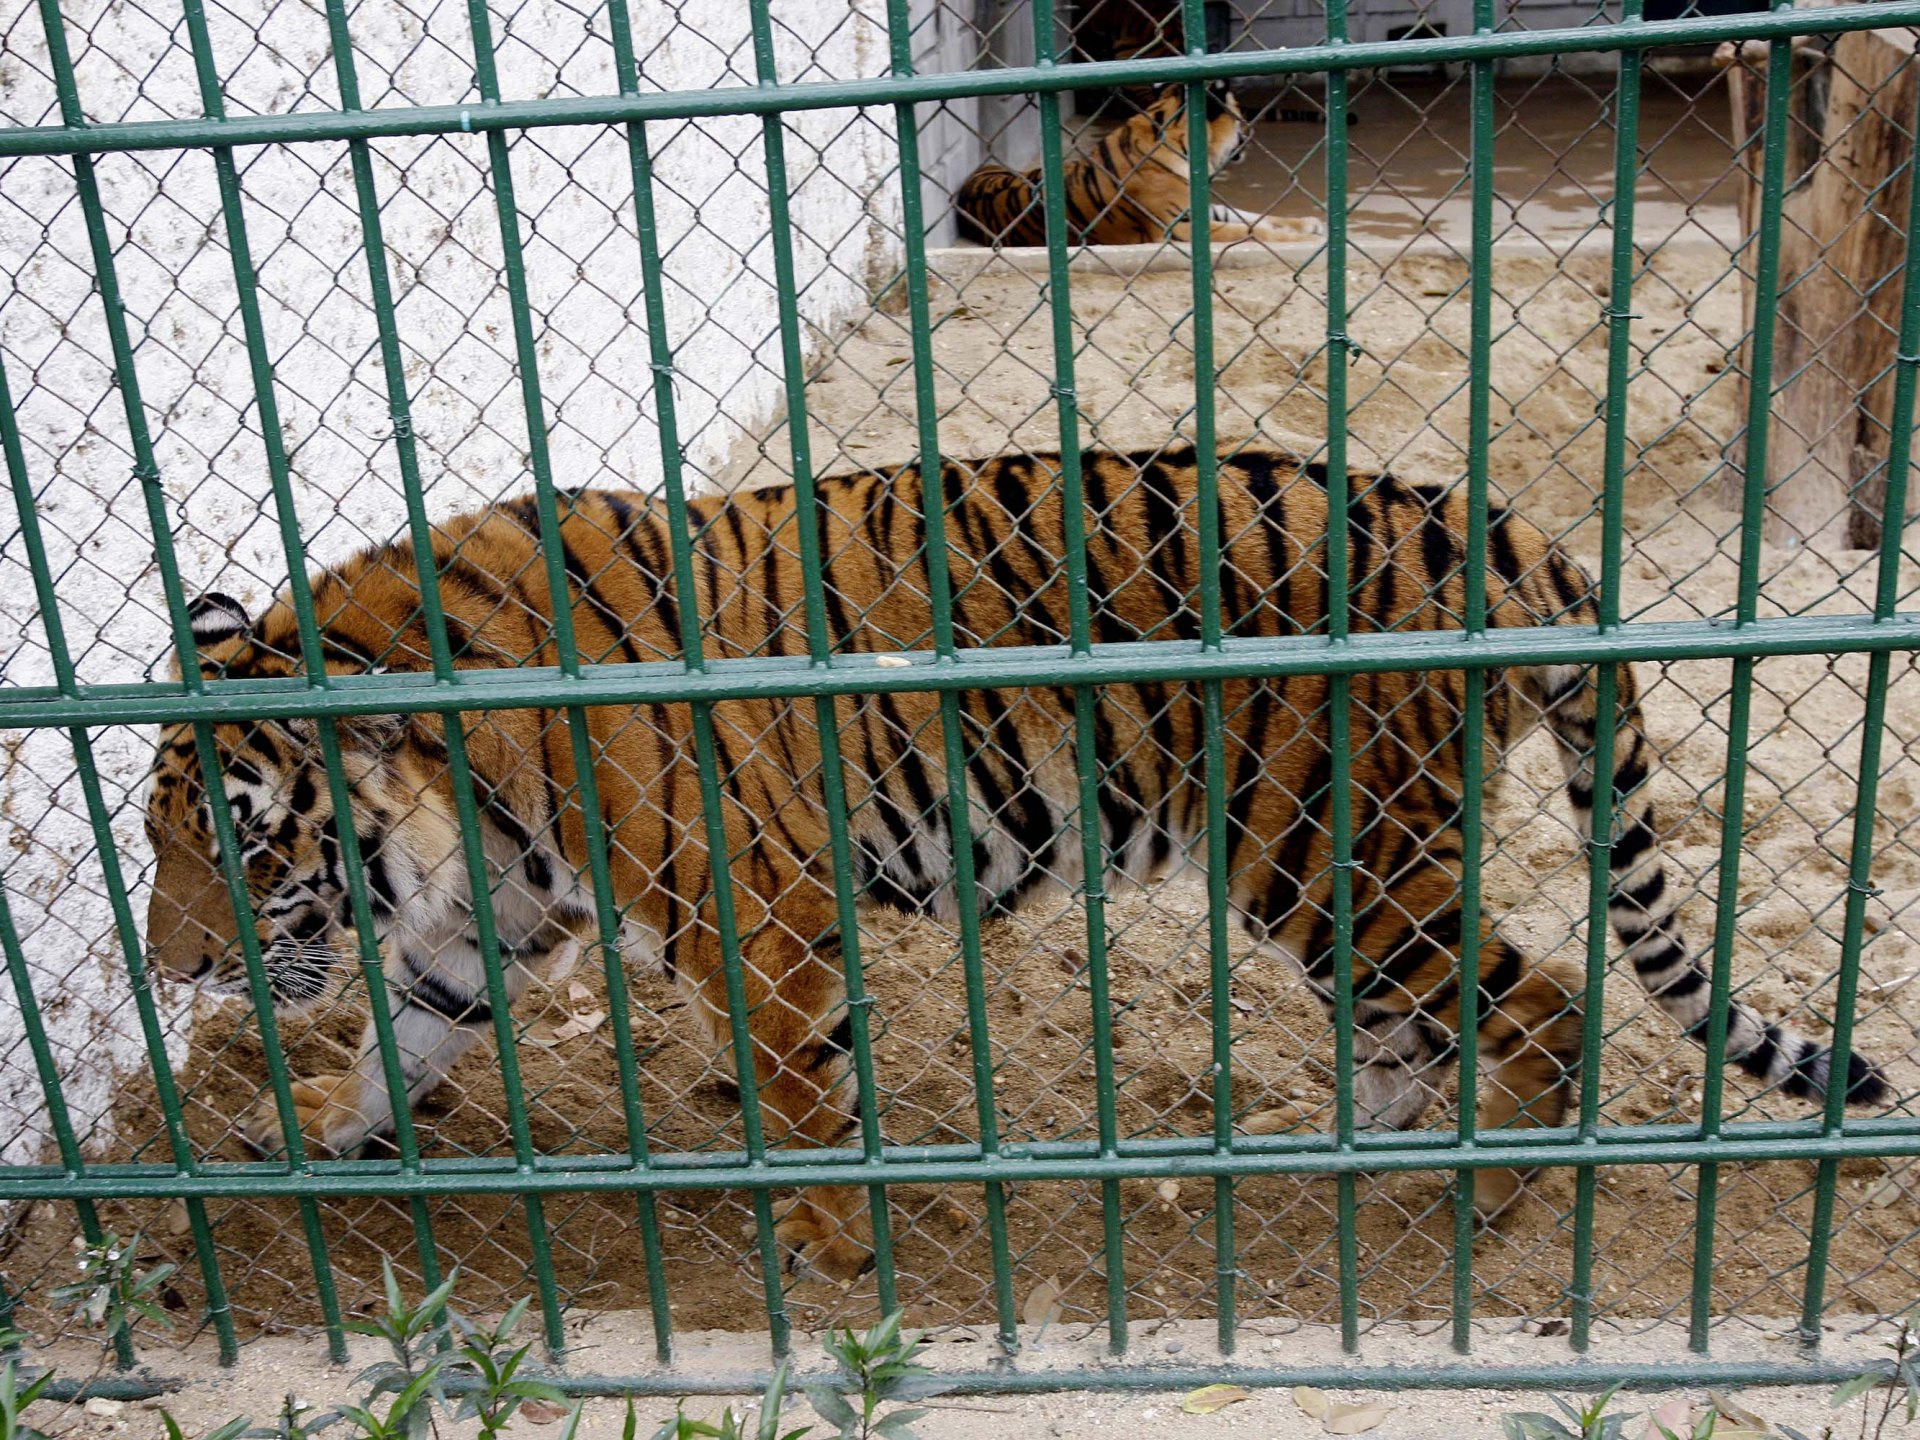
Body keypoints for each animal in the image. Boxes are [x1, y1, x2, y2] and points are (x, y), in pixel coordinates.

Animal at [145, 451, 1889, 1282]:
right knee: (1424, 1028)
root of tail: (1499, 530)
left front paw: (834, 1251)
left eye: (240, 844)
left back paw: (1484, 1200)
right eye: (157, 847)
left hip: (1339, 863)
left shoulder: (755, 919)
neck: (459, 789)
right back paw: (1336, 1145)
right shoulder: (490, 920)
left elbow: (802, 1097)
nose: (175, 968)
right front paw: (316, 1140)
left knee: (1547, 1009)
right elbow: (403, 1030)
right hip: (1337, 883)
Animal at [956, 84, 1328, 249]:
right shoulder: (1179, 227)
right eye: (1239, 113)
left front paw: (1309, 224)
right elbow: (1251, 231)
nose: (1251, 128)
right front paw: (1298, 239)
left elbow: (1256, 217)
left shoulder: (1202, 208)